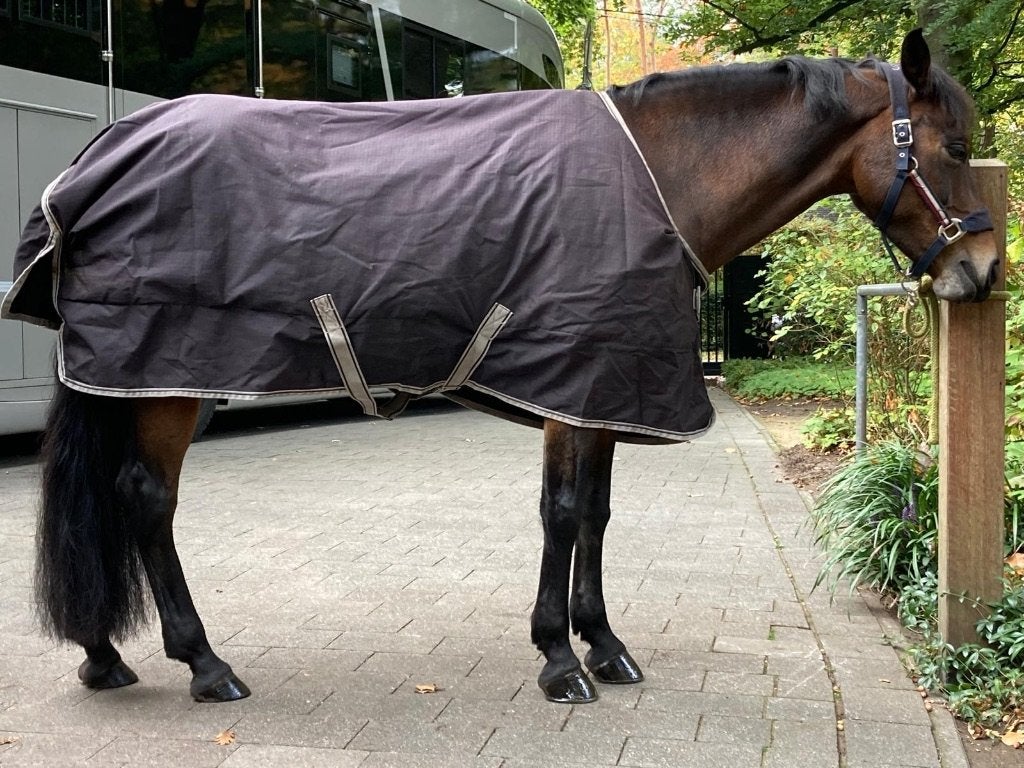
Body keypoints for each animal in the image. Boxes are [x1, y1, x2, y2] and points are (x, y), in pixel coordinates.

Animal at [1, 29, 999, 705]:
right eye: (952, 149)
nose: (984, 272)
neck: (657, 178)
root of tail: (97, 158)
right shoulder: (571, 383)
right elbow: (560, 514)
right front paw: (560, 659)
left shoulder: (605, 389)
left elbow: (595, 514)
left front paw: (604, 645)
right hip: (168, 381)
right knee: (146, 501)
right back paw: (204, 663)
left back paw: (105, 654)